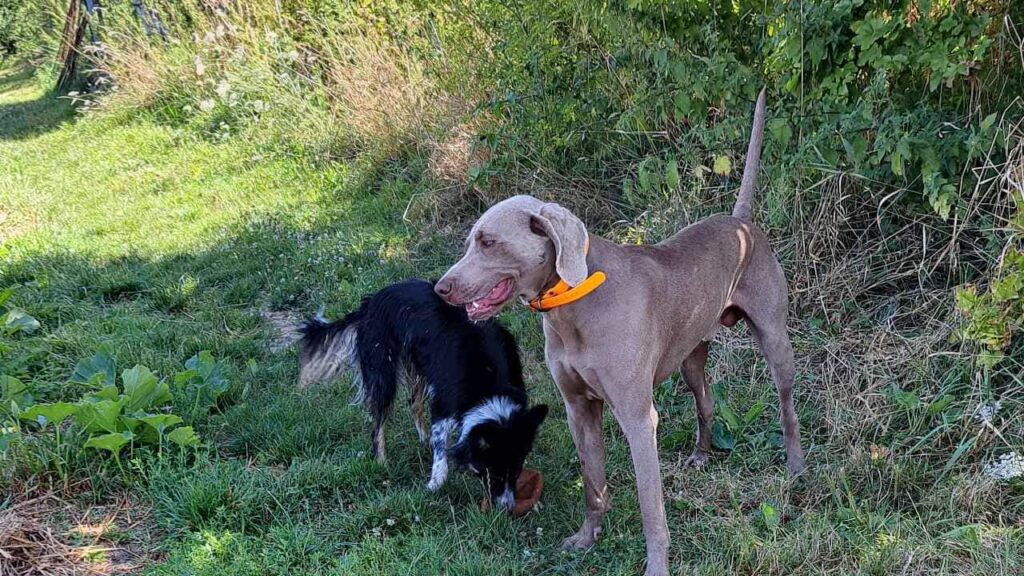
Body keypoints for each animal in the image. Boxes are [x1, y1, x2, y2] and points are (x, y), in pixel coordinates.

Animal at [432, 86, 798, 573]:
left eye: (488, 242)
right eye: (470, 242)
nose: (441, 287)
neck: (575, 308)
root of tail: (740, 222)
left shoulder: (639, 418)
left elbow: (650, 506)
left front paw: (657, 565)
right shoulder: (579, 409)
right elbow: (593, 483)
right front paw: (587, 538)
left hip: (775, 341)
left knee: (787, 406)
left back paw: (796, 466)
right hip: (691, 355)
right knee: (705, 400)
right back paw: (702, 454)